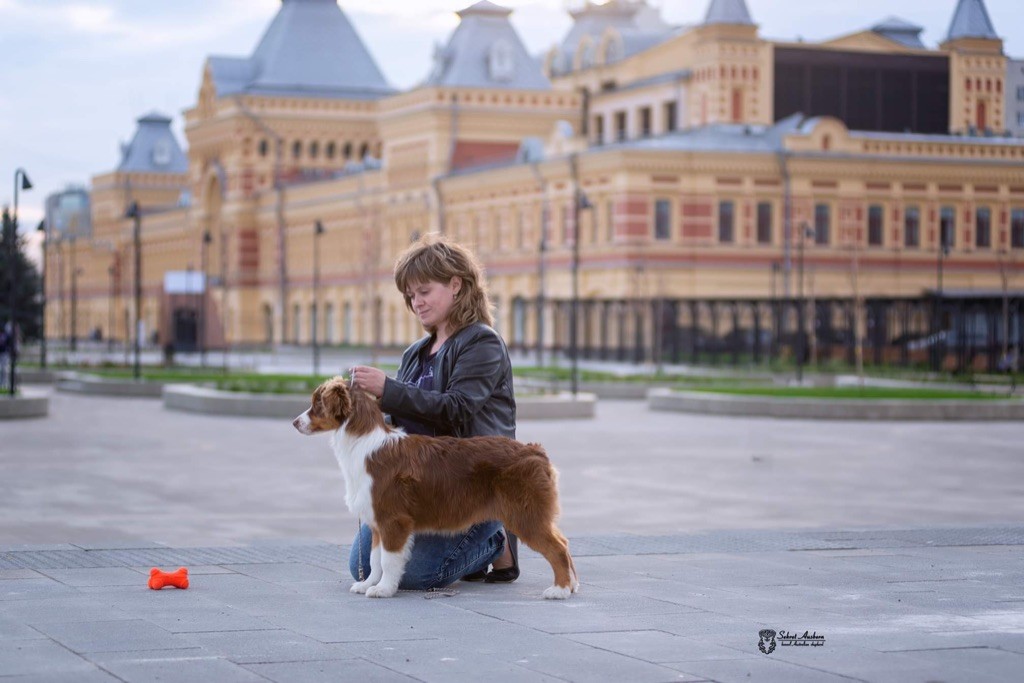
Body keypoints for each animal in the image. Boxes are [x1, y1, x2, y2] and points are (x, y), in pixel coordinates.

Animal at [294, 376, 577, 602]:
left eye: (317, 404)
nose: (295, 422)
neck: (361, 442)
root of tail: (536, 452)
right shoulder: (376, 522)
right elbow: (374, 559)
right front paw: (368, 584)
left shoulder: (393, 519)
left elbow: (388, 559)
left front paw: (384, 589)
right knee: (563, 541)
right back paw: (572, 586)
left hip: (525, 513)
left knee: (557, 548)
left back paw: (559, 590)